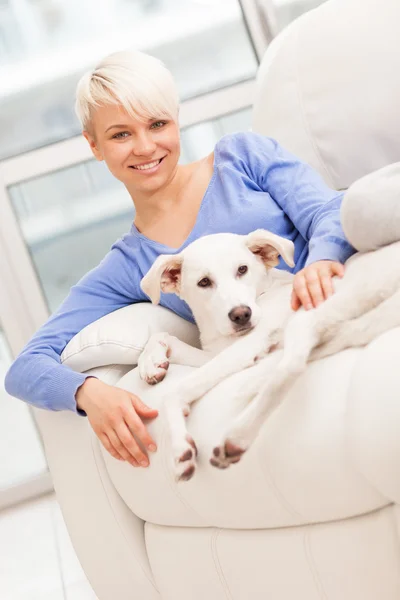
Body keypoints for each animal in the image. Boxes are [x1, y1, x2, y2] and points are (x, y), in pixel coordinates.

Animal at [139, 230, 400, 482]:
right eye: (204, 282)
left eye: (242, 269)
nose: (241, 315)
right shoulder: (220, 353)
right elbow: (164, 337)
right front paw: (150, 362)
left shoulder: (245, 347)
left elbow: (174, 392)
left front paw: (178, 448)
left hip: (308, 313)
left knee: (291, 367)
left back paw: (237, 438)